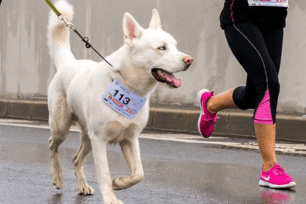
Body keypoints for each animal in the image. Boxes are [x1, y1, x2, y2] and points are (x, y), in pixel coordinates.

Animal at [46, 0, 192, 203]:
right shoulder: (100, 140)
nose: (189, 60)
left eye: (175, 46)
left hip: (87, 138)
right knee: (52, 146)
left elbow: (139, 174)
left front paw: (120, 183)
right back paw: (57, 177)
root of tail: (69, 63)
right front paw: (111, 198)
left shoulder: (130, 139)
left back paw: (82, 185)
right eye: (161, 48)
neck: (126, 84)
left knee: (76, 159)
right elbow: (104, 174)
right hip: (62, 128)